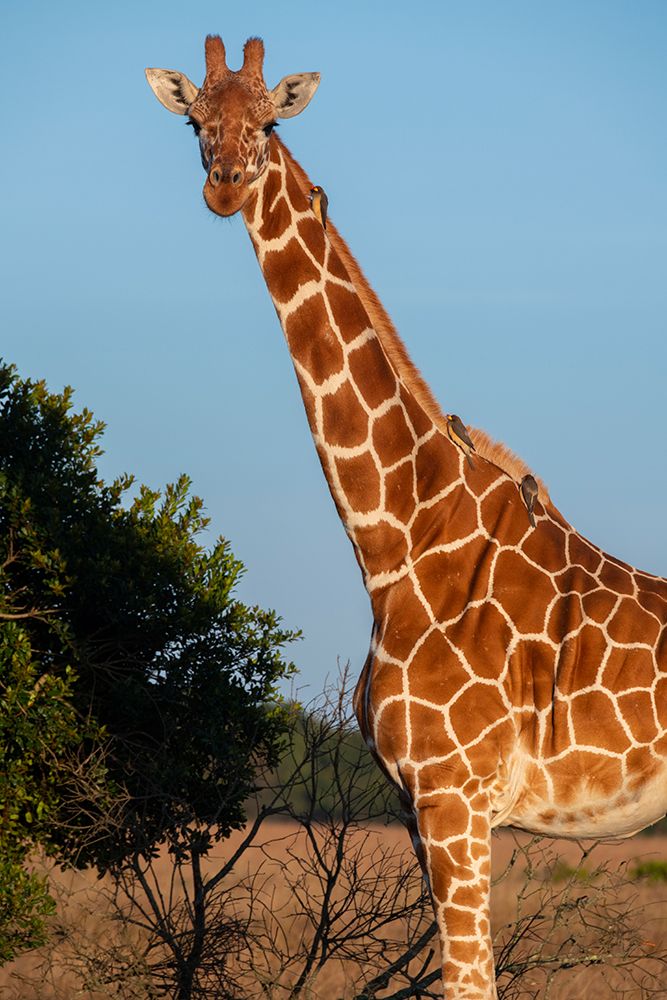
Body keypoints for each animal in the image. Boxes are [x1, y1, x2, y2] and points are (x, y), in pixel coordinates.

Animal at [147, 35, 667, 1000]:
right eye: (195, 122)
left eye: (268, 123)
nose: (227, 185)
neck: (399, 540)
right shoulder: (421, 801)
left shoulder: (453, 798)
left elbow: (470, 981)